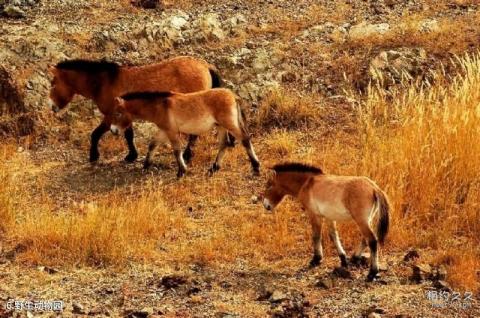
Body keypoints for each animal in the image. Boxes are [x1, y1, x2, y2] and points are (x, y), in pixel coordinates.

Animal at [47, 55, 223, 163]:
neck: (104, 83)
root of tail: (204, 65)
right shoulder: (123, 117)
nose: (51, 106)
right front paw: (132, 155)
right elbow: (129, 136)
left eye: (53, 83)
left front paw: (94, 156)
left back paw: (187, 155)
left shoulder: (110, 116)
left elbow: (95, 134)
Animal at [111, 89, 260, 178]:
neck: (160, 106)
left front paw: (181, 171)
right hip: (221, 127)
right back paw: (214, 168)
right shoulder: (164, 130)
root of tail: (233, 95)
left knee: (245, 140)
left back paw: (256, 167)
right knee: (224, 144)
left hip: (230, 125)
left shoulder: (171, 132)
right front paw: (146, 165)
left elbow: (177, 150)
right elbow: (152, 145)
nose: (113, 130)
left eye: (118, 113)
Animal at [258, 163, 390, 282]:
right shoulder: (329, 217)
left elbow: (316, 236)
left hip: (361, 221)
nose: (266, 205)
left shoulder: (314, 215)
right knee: (365, 239)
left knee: (372, 240)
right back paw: (355, 257)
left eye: (268, 185)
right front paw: (343, 259)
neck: (307, 183)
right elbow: (334, 236)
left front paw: (316, 259)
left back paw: (372, 273)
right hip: (367, 220)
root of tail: (374, 188)